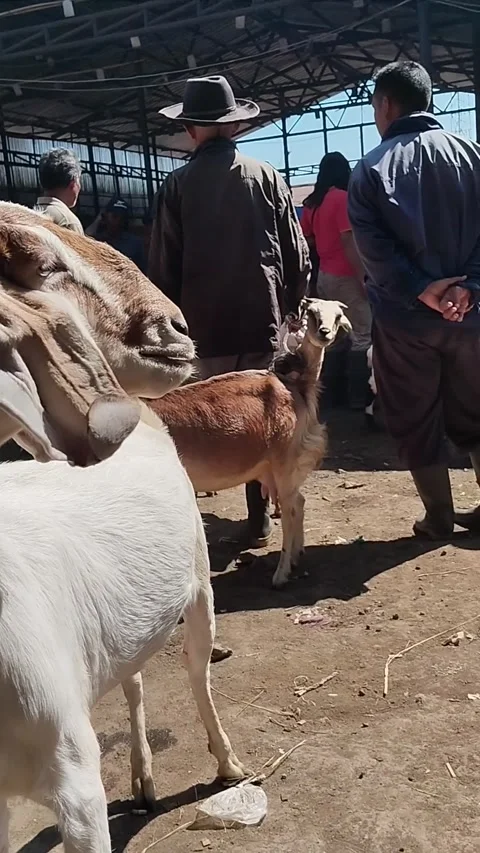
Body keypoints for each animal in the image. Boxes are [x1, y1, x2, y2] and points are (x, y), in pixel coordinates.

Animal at [0, 208, 245, 852]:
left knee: (194, 670)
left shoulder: (76, 782)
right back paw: (143, 777)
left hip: (198, 581)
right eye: (42, 262)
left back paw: (225, 762)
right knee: (137, 678)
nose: (176, 328)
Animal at [150, 298, 352, 588]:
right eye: (312, 314)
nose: (324, 333)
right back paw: (296, 556)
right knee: (298, 503)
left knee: (291, 510)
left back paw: (281, 574)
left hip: (285, 462)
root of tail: (294, 389)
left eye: (338, 317)